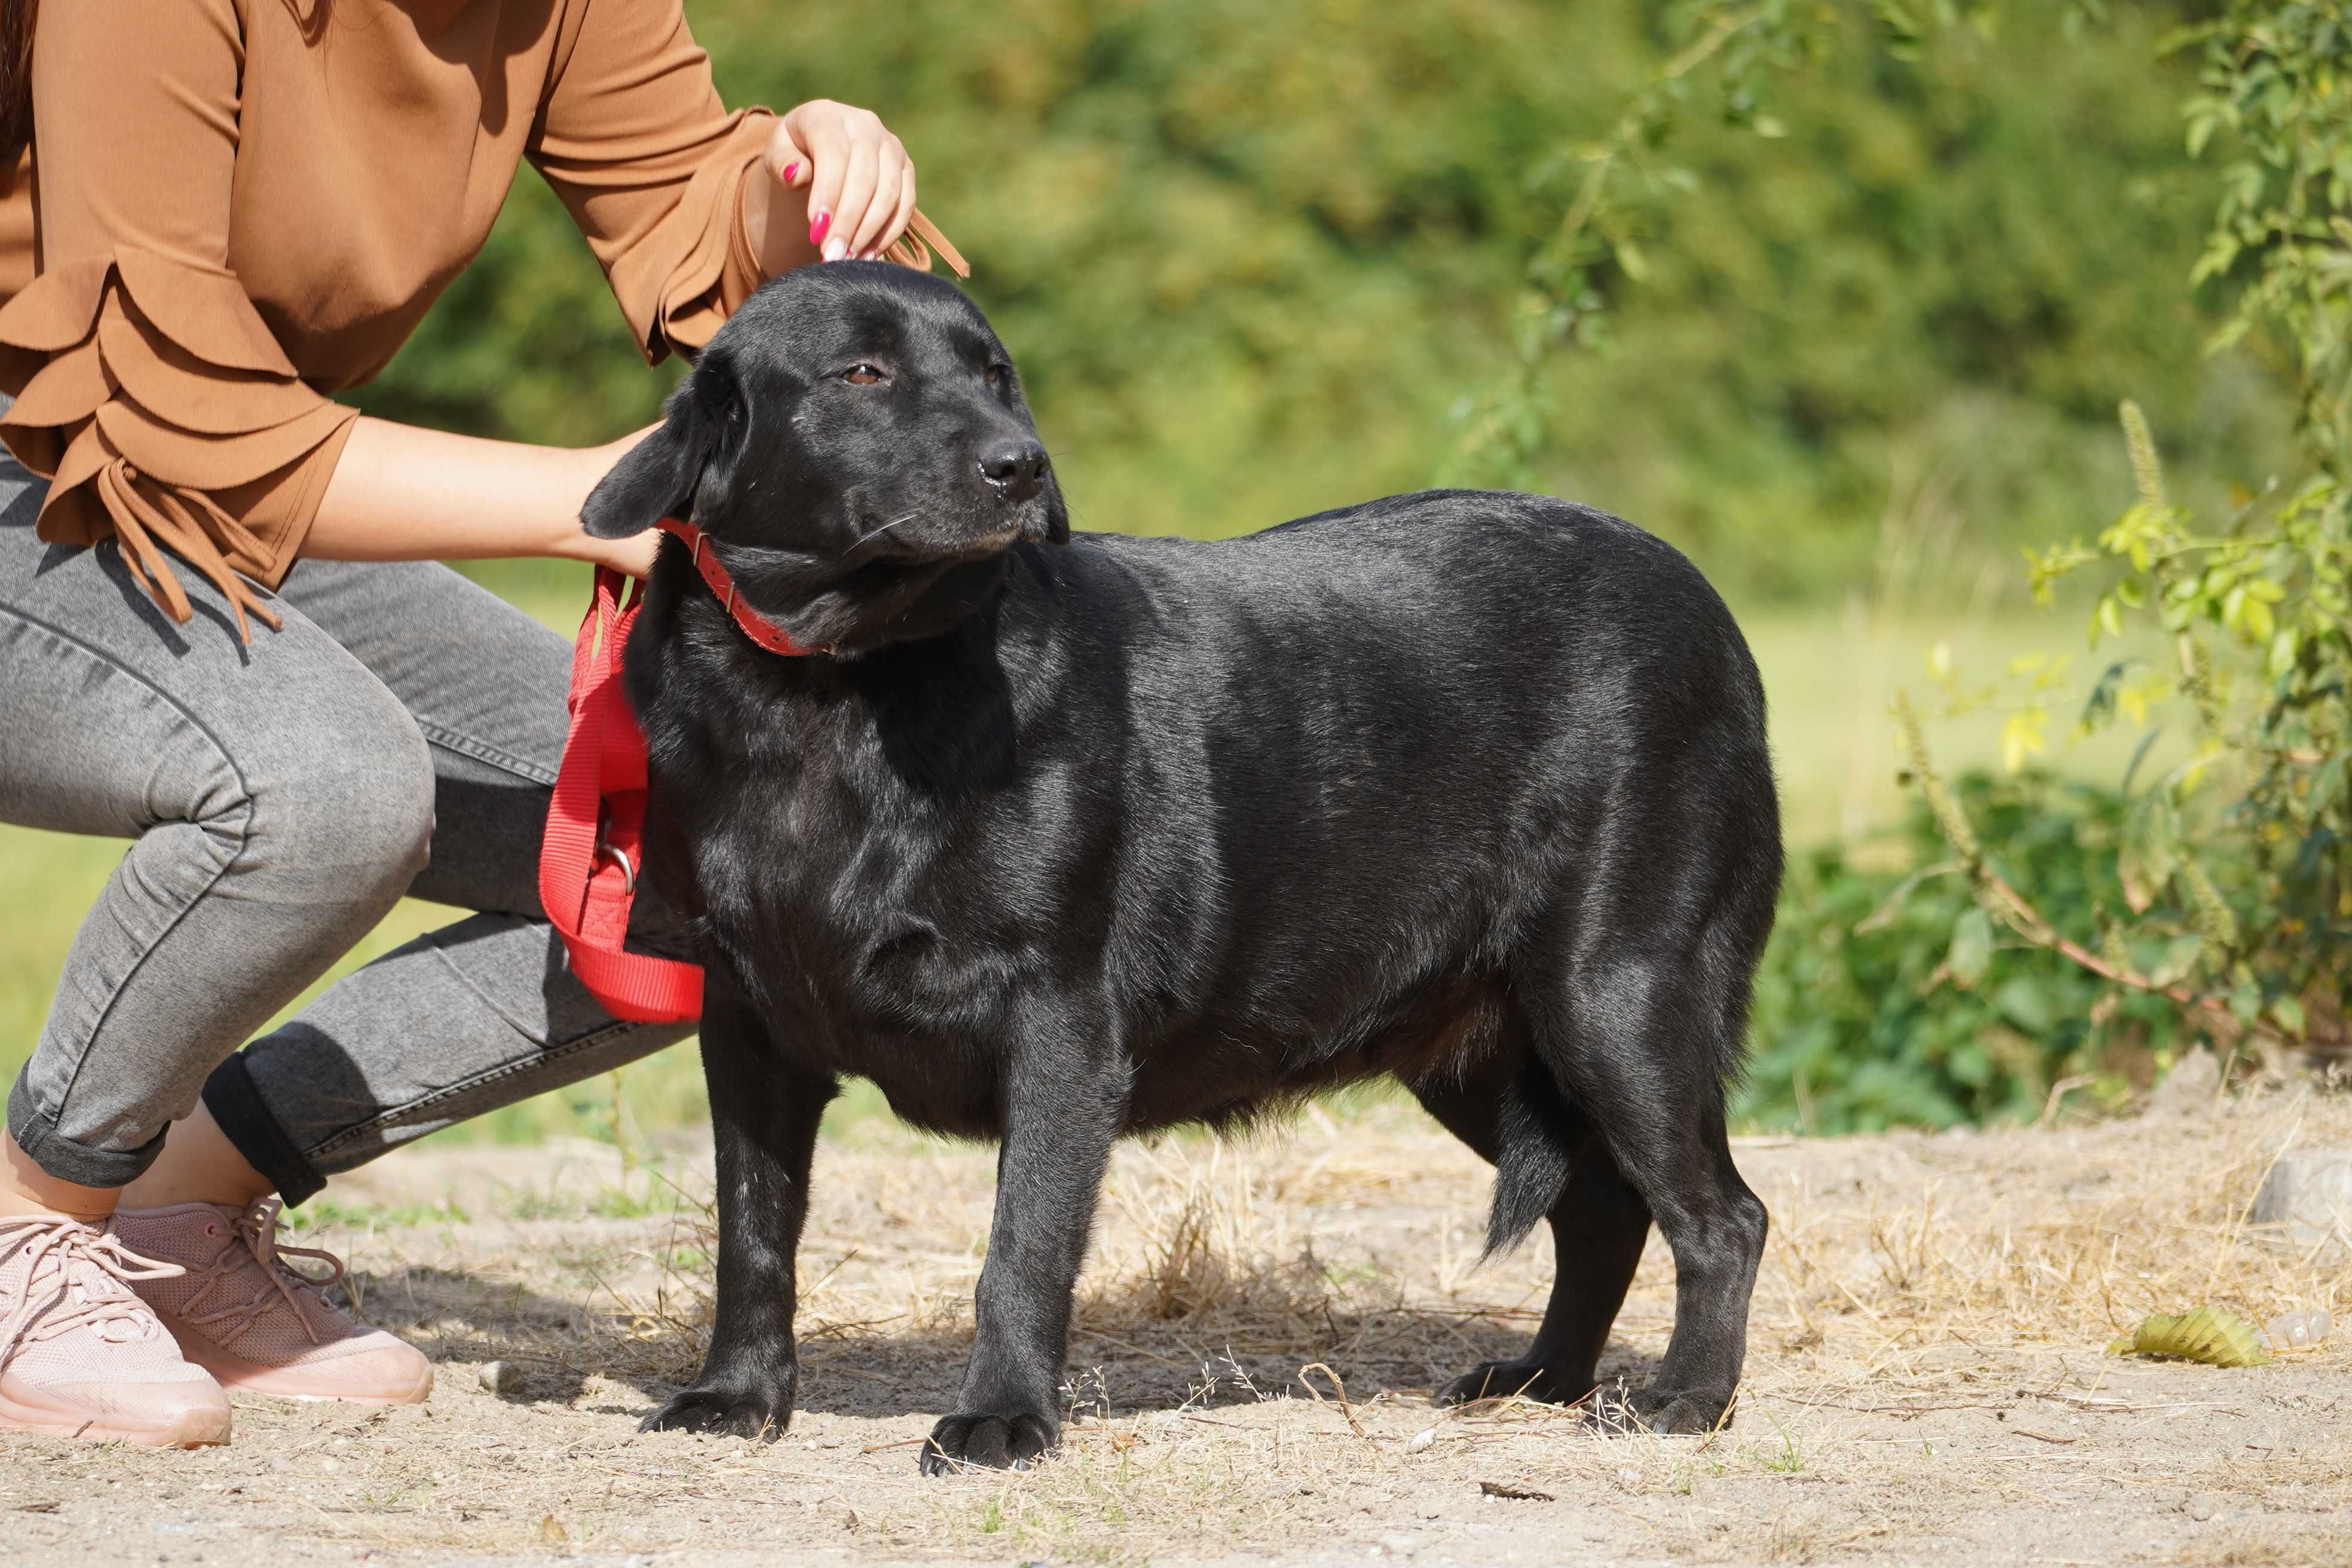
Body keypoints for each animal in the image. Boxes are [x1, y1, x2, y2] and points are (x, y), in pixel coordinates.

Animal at [583, 261, 1778, 1476]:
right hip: (1479, 1047)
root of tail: (1711, 612)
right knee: (1602, 1207)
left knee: (1723, 1216)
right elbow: (752, 1230)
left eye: (995, 373)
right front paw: (735, 1394)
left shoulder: (1060, 1023)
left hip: (1614, 993)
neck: (833, 689)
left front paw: (1002, 1418)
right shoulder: (748, 1026)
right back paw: (1542, 1379)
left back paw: (1686, 1395)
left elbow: (1023, 1245)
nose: (1022, 464)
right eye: (862, 373)